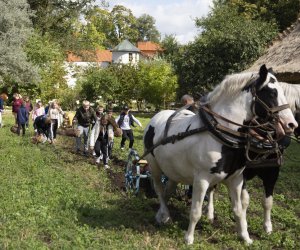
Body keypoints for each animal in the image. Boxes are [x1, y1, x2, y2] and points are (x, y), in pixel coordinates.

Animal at [144, 65, 298, 245]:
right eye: (272, 93)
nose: (291, 124)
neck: (221, 133)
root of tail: (156, 116)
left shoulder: (237, 179)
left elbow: (239, 210)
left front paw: (245, 237)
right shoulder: (202, 179)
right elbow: (195, 211)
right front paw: (189, 238)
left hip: (173, 170)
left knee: (168, 189)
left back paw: (164, 214)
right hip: (154, 166)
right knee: (159, 190)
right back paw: (163, 214)